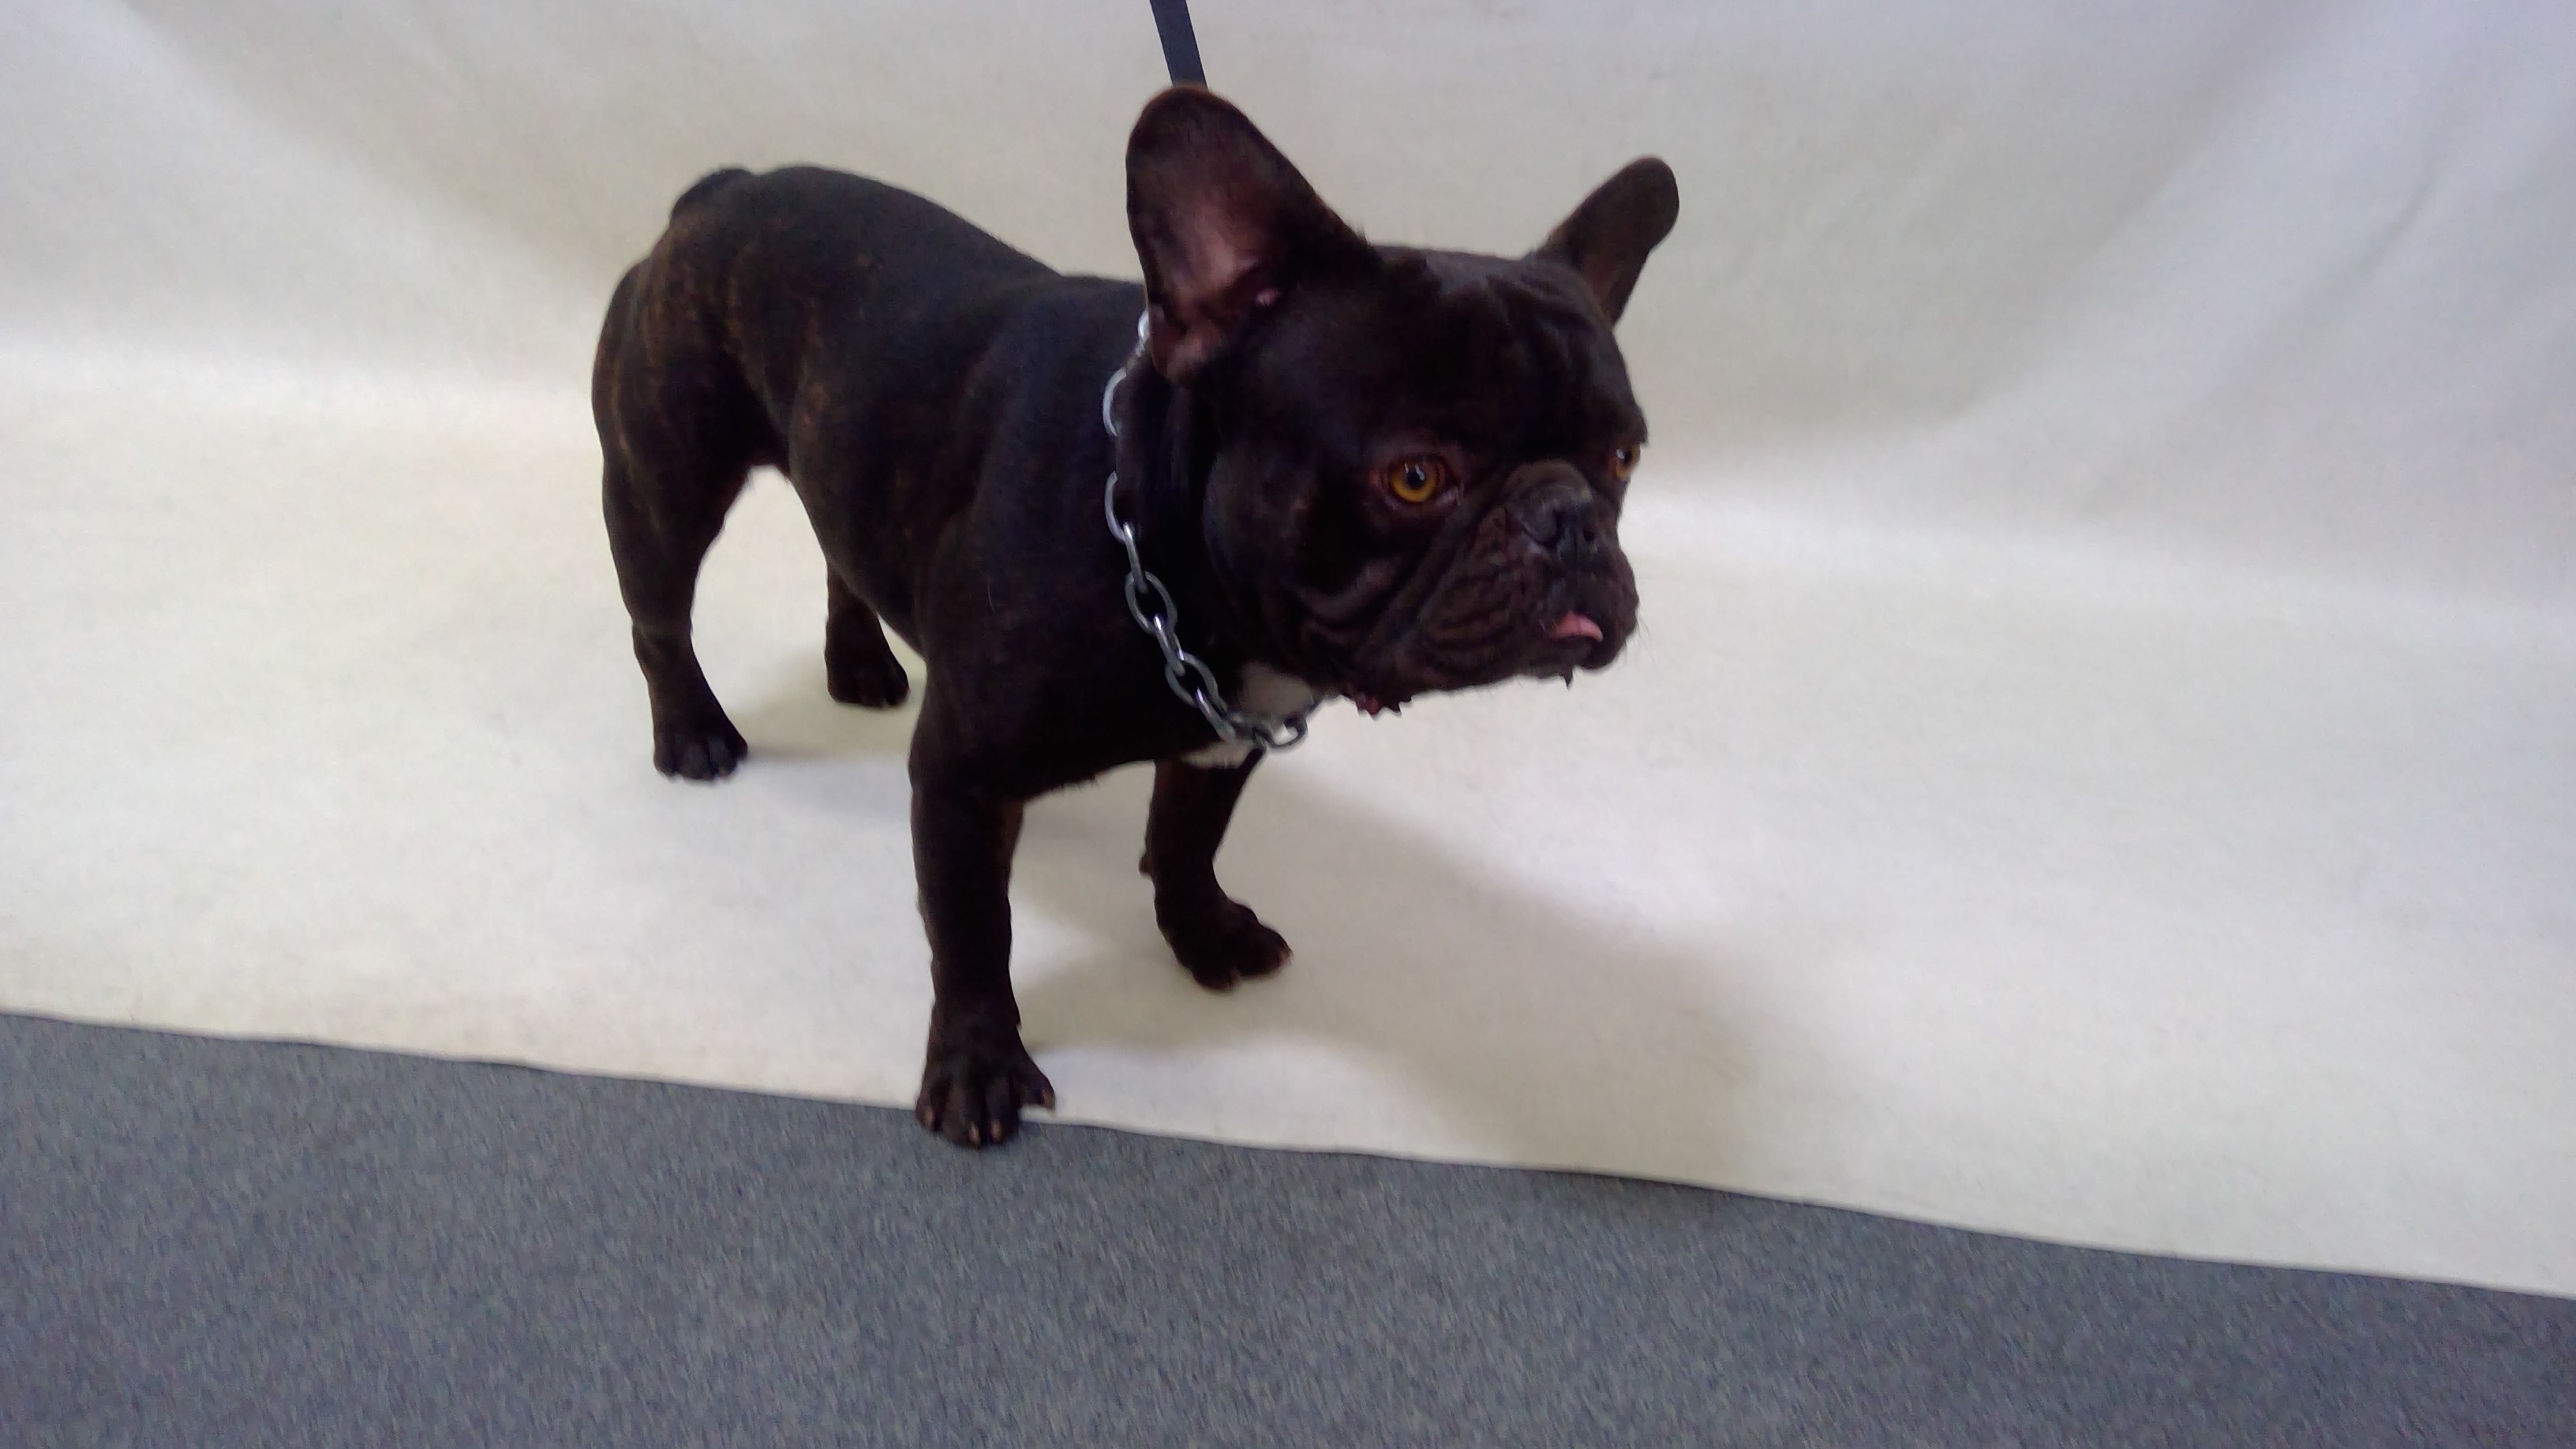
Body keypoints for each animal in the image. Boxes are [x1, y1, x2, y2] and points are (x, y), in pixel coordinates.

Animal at [592, 87, 1676, 1147]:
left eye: (1623, 457)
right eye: (1416, 477)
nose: (1569, 520)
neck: (1164, 554)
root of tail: (720, 192)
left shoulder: (1221, 745)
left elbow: (1190, 841)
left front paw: (1202, 932)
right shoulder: (964, 778)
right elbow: (972, 929)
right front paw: (978, 1063)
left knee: (837, 546)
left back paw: (858, 663)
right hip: (666, 476)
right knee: (659, 615)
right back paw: (692, 730)